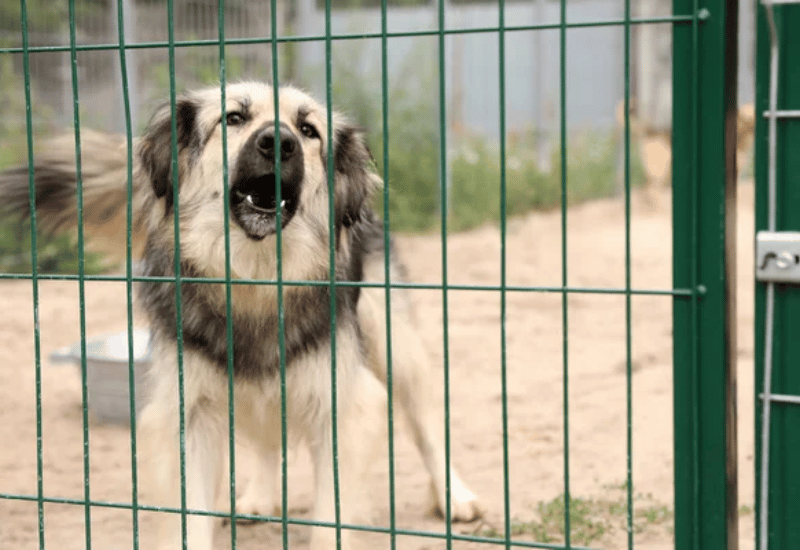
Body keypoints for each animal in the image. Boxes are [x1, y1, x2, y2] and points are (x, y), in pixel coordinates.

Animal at [0, 83, 482, 550]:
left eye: (308, 130)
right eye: (233, 118)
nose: (279, 142)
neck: (255, 279)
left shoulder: (345, 407)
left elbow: (332, 521)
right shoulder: (187, 416)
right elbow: (189, 521)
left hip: (393, 344)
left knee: (428, 429)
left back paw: (456, 498)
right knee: (267, 437)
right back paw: (258, 498)